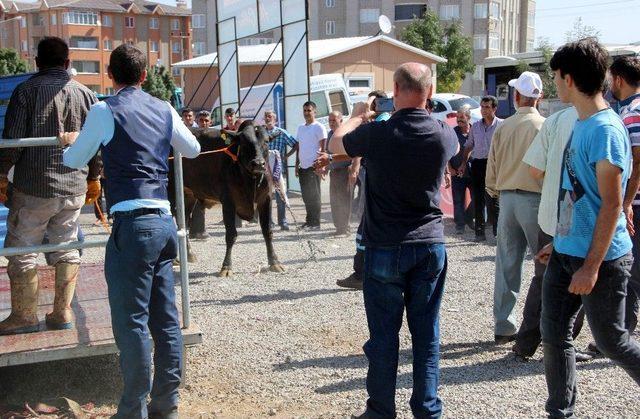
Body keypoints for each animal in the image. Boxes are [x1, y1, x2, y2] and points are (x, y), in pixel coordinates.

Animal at [169, 121, 284, 278]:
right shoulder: (228, 202)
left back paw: (189, 254)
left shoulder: (265, 199)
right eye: (244, 142)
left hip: (188, 195)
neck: (250, 180)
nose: (258, 163)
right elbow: (231, 234)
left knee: (184, 222)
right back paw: (175, 258)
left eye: (266, 141)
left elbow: (267, 232)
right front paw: (226, 267)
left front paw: (274, 262)